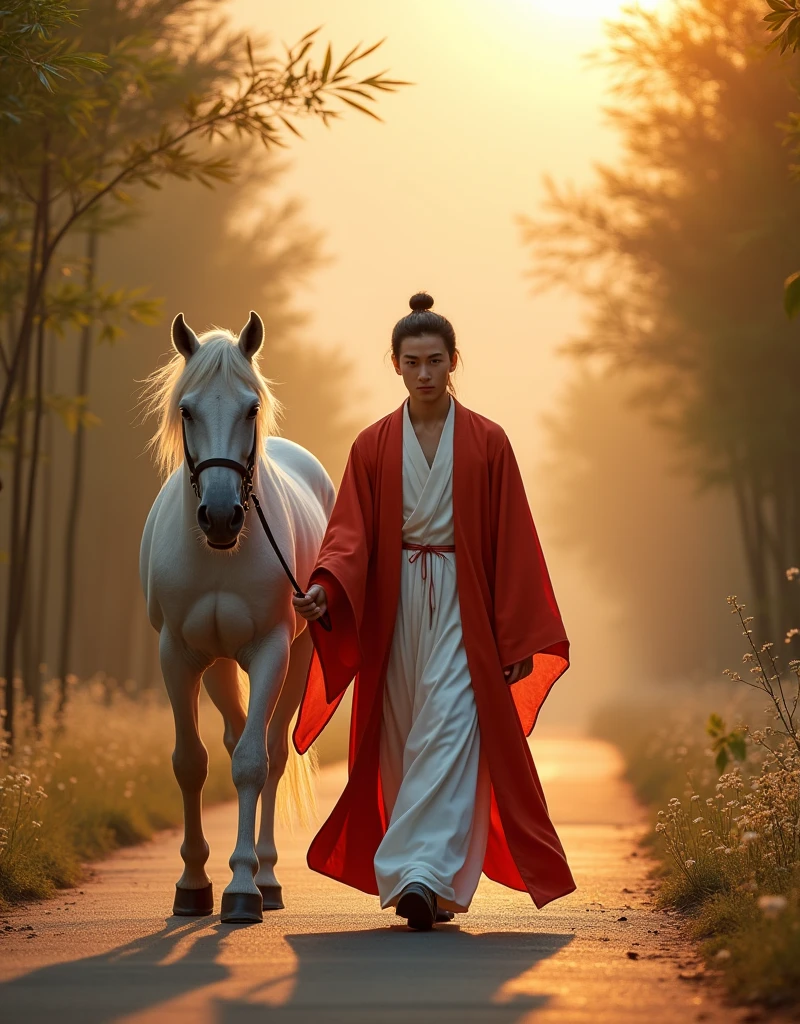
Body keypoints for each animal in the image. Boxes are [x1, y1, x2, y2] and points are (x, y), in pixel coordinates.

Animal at [140, 307, 333, 925]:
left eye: (251, 408)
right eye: (186, 409)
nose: (221, 516)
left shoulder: (272, 649)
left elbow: (252, 762)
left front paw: (243, 887)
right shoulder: (176, 655)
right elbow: (190, 762)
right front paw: (193, 883)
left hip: (297, 659)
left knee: (270, 753)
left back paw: (267, 879)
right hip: (220, 666)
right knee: (229, 738)